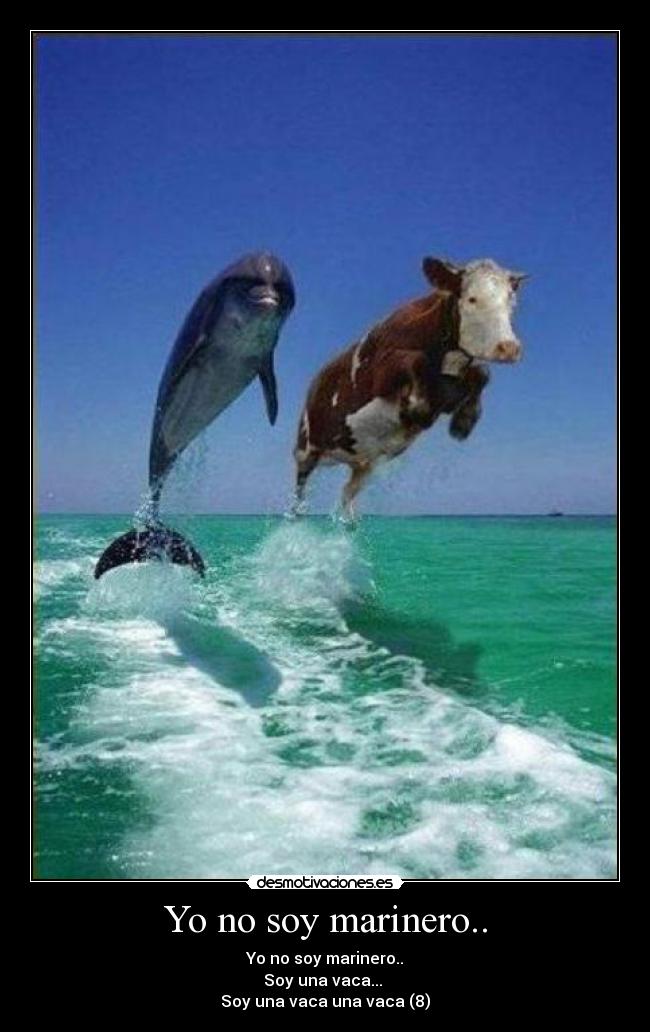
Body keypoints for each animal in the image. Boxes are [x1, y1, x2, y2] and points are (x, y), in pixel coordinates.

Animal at [293, 256, 526, 517]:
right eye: (472, 299)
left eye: (511, 301)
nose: (509, 347)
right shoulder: (380, 372)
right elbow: (416, 360)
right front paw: (416, 409)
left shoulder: (447, 395)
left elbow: (483, 373)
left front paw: (463, 422)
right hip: (305, 447)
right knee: (299, 489)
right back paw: (298, 513)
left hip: (363, 463)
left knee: (348, 492)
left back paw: (349, 520)